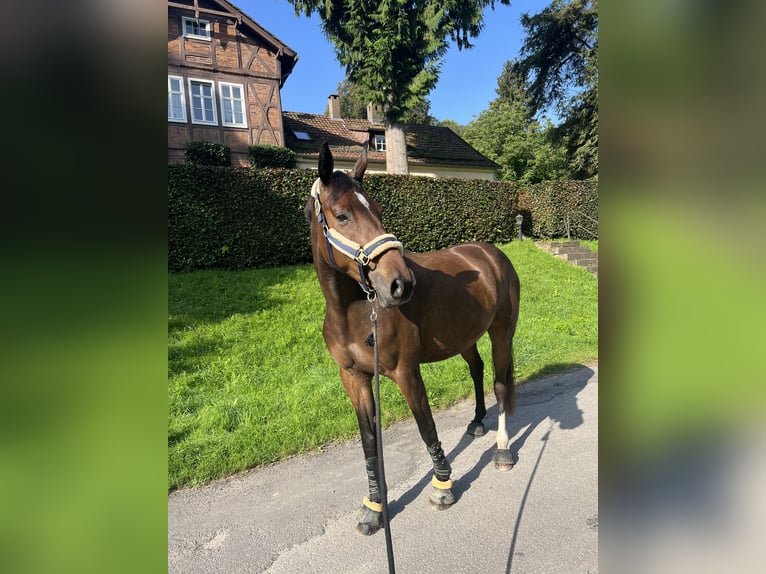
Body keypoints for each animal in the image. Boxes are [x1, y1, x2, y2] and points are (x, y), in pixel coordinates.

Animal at [306, 142, 520, 536]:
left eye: (377, 210)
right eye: (342, 216)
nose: (400, 284)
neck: (354, 312)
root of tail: (490, 252)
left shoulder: (407, 372)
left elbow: (426, 426)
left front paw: (443, 486)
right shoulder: (354, 378)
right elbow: (369, 441)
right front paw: (374, 507)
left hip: (501, 332)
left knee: (499, 383)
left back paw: (502, 449)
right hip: (464, 338)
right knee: (478, 369)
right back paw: (477, 422)